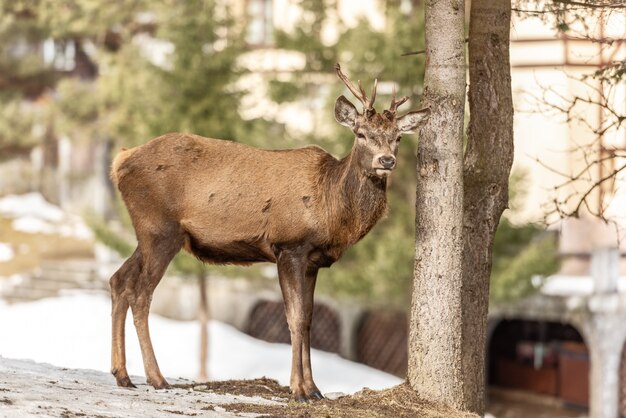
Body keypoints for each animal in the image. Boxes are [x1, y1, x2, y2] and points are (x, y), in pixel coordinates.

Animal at [108, 63, 428, 400]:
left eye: (397, 137)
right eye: (361, 133)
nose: (386, 160)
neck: (332, 210)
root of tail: (120, 160)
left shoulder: (313, 261)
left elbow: (310, 319)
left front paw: (314, 389)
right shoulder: (289, 246)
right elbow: (295, 318)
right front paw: (298, 389)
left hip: (149, 233)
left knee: (119, 279)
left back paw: (122, 374)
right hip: (160, 229)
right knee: (140, 292)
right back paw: (156, 377)